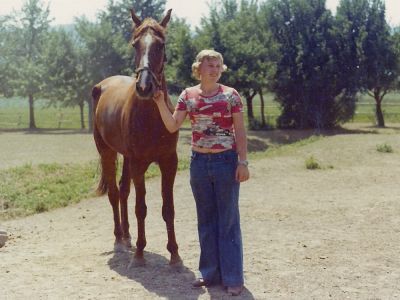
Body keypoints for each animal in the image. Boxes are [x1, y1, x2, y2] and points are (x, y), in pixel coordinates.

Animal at [91, 8, 180, 264]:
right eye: (135, 45)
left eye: (161, 44)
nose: (144, 87)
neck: (152, 117)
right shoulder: (140, 164)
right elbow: (141, 208)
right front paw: (140, 253)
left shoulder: (169, 162)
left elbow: (168, 208)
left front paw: (175, 254)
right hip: (108, 152)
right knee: (114, 193)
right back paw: (119, 239)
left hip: (127, 157)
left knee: (123, 190)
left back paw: (127, 236)